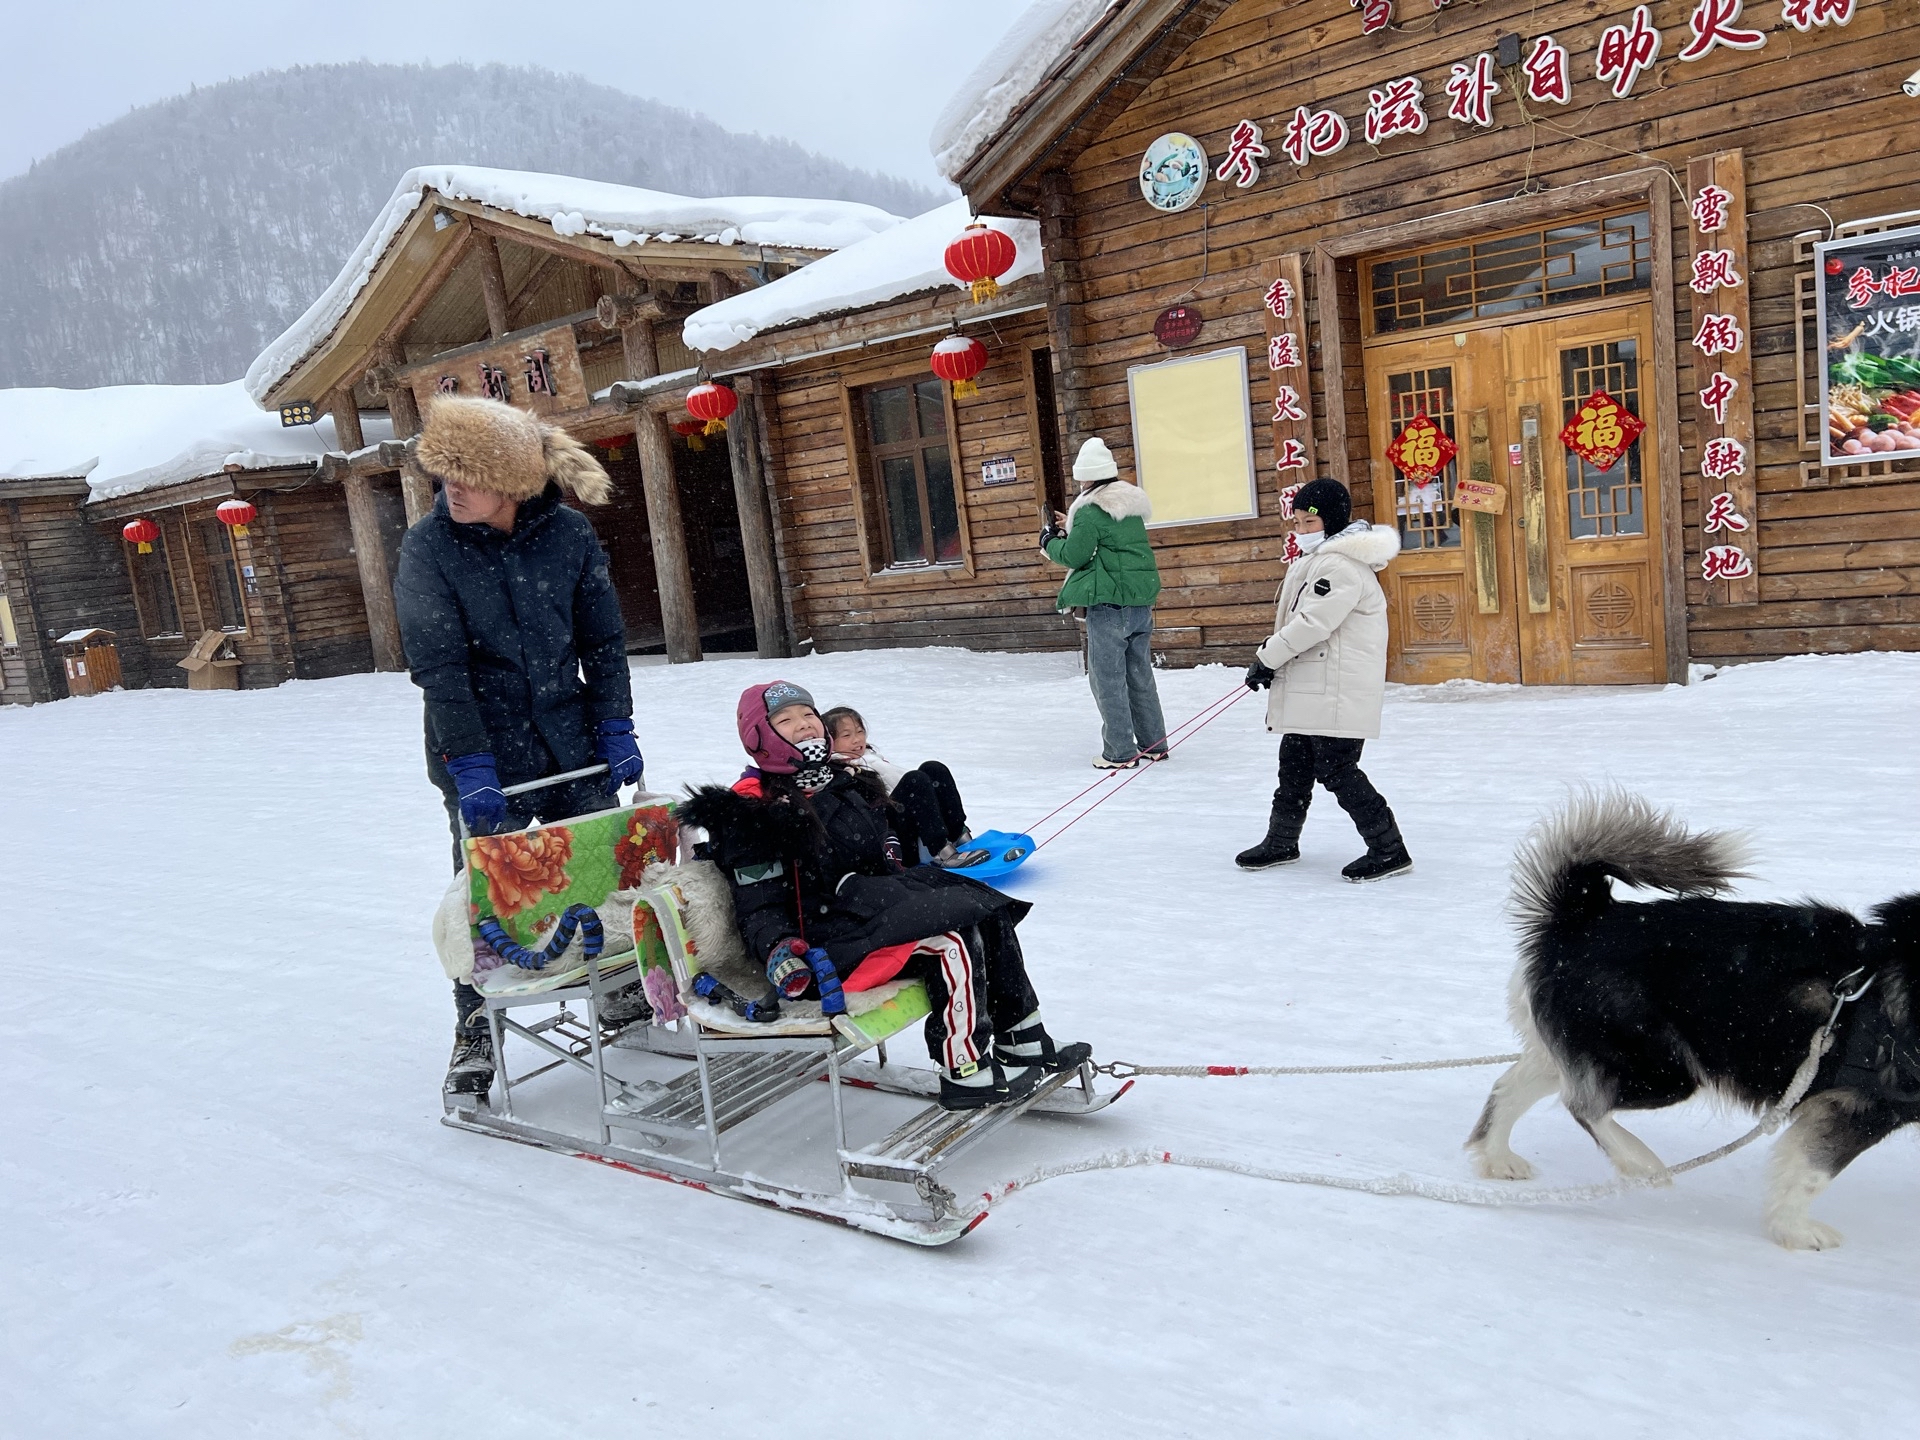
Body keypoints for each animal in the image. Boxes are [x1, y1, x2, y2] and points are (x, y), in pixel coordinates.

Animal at [1466, 791, 1920, 1251]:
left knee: (1514, 1085)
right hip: (1662, 1069)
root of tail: (1583, 918)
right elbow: (1811, 1172)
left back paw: (1498, 1158)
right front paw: (1794, 1230)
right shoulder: (1861, 1106)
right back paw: (1643, 1164)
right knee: (1583, 1103)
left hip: (1585, 1049)